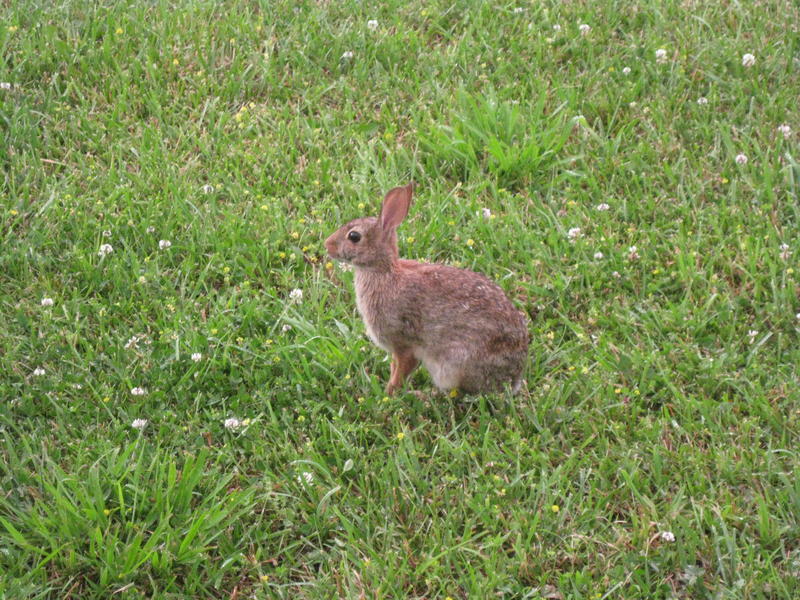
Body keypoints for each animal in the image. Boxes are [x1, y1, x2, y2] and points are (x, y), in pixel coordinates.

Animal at [324, 183, 532, 396]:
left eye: (354, 236)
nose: (327, 245)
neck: (384, 272)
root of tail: (513, 378)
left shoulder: (404, 342)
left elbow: (401, 370)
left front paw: (389, 394)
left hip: (456, 363)